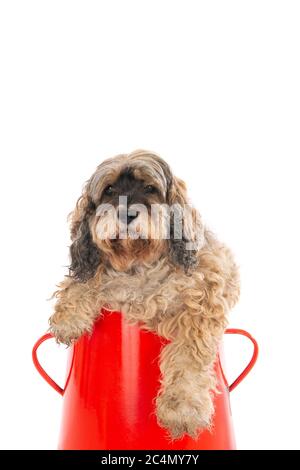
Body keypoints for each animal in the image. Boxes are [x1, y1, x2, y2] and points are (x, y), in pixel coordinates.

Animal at [49, 149, 241, 438]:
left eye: (150, 188)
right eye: (109, 189)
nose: (126, 214)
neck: (139, 265)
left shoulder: (204, 300)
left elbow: (188, 351)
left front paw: (182, 407)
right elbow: (87, 281)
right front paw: (69, 318)